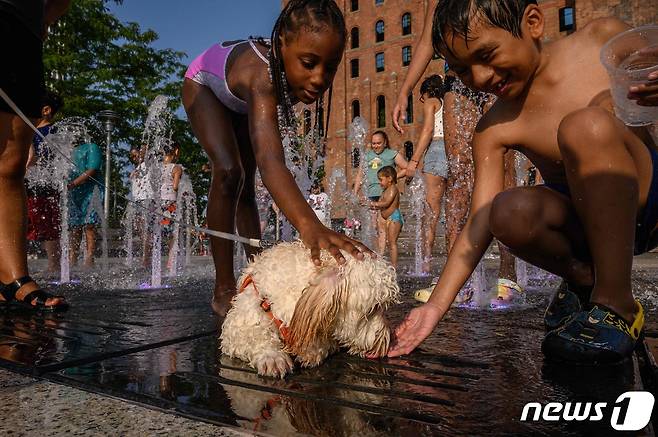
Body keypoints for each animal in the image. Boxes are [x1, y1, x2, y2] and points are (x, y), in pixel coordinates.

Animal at [219, 240, 400, 376]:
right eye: (374, 308)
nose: (390, 339)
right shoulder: (240, 323)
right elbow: (251, 336)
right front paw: (272, 357)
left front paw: (310, 351)